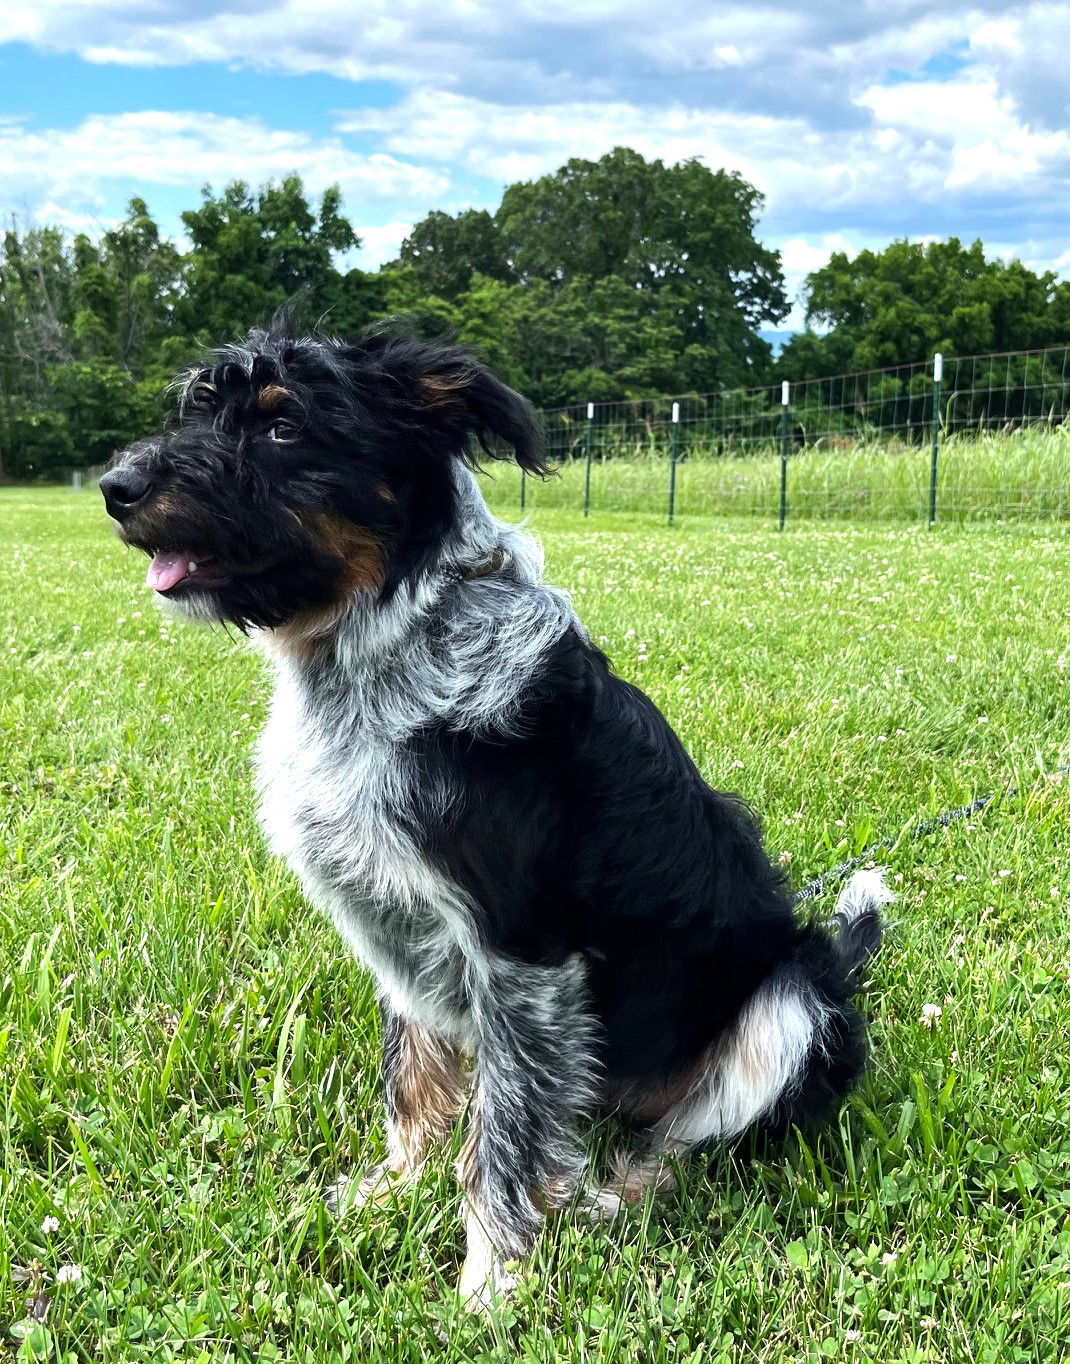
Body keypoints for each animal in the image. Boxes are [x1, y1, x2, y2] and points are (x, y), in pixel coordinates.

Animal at [100, 319, 889, 1309]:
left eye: (283, 428)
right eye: (197, 410)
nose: (115, 487)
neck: (374, 649)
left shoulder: (518, 953)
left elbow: (504, 1135)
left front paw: (491, 1277)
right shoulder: (404, 935)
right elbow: (414, 1081)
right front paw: (392, 1190)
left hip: (791, 1002)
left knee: (691, 1142)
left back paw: (613, 1193)